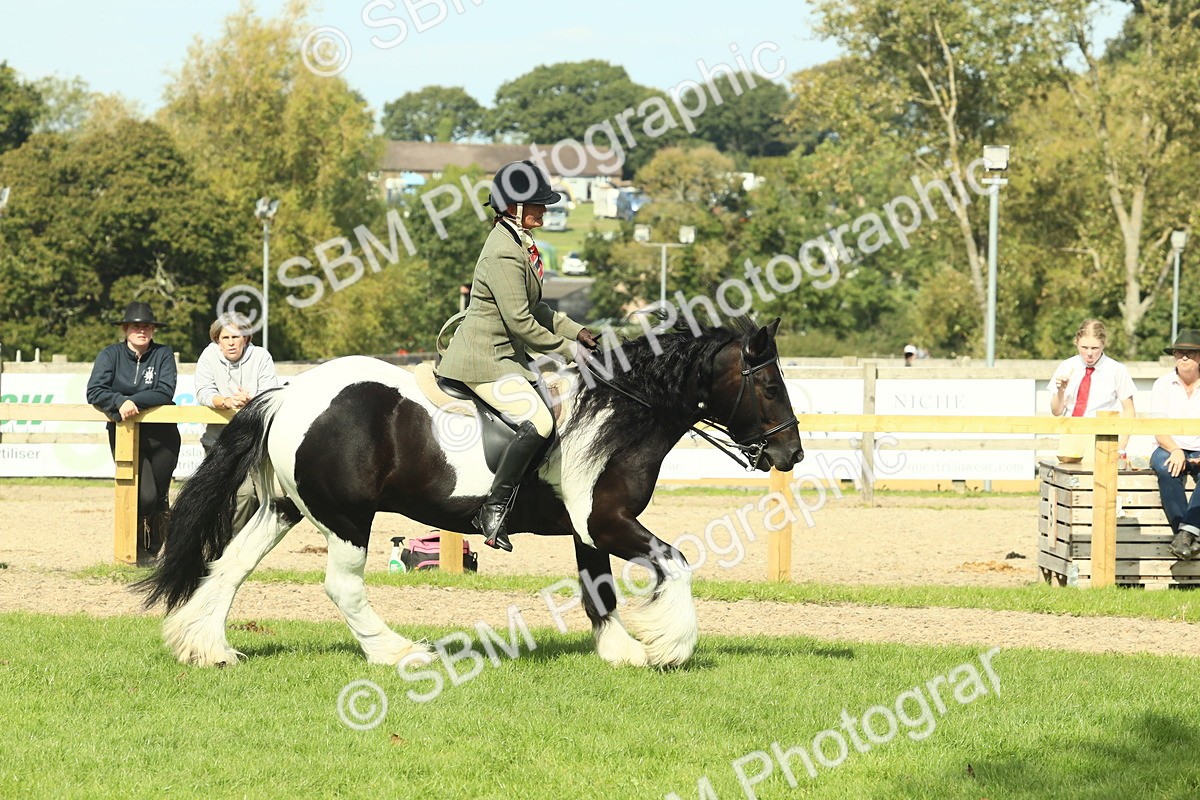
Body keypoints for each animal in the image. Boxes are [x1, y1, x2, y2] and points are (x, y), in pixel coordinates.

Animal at [136, 316, 804, 669]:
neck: (620, 411)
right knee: (342, 586)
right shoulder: (609, 522)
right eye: (770, 385)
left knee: (229, 568)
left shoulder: (590, 530)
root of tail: (286, 395)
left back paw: (208, 648)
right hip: (347, 518)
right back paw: (398, 651)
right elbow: (677, 564)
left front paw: (622, 651)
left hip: (284, 510)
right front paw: (670, 645)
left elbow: (600, 591)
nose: (790, 455)